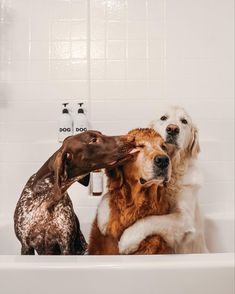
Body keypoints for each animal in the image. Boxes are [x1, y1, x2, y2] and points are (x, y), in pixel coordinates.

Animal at [118, 106, 208, 255]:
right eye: (163, 118)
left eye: (184, 121)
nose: (172, 129)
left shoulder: (185, 218)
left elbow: (152, 220)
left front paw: (127, 240)